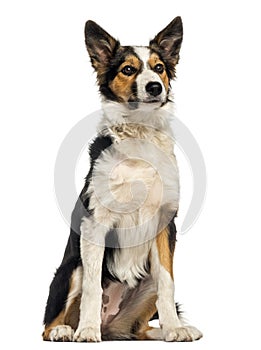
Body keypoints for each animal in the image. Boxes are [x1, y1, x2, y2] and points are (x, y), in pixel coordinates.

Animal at [42, 16, 202, 342]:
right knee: (49, 322)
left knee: (138, 327)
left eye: (159, 67)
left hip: (145, 283)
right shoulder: (95, 223)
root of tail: (111, 326)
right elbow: (92, 288)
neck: (139, 133)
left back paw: (166, 330)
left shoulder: (165, 222)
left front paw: (174, 329)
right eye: (128, 69)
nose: (155, 87)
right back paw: (67, 330)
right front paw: (87, 331)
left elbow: (168, 284)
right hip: (71, 268)